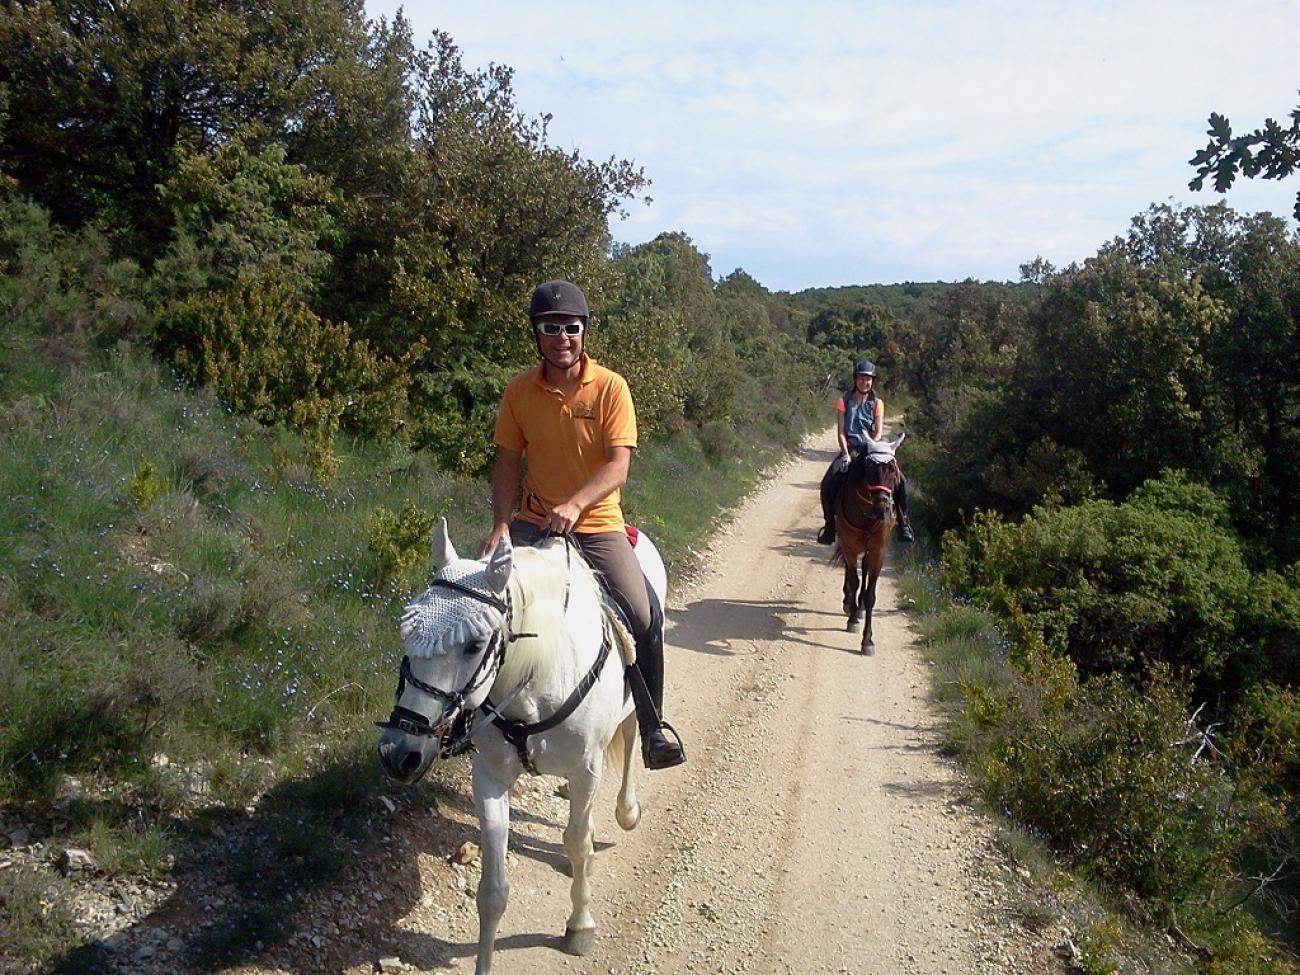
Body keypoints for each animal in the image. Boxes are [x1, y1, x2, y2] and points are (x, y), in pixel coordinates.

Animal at [377, 522, 660, 972]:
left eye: (474, 645)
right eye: (408, 635)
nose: (398, 753)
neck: (538, 676)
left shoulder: (586, 770)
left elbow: (578, 845)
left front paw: (580, 926)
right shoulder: (490, 777)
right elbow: (493, 891)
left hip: (631, 704)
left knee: (632, 736)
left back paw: (627, 809)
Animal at [832, 436, 904, 657]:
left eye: (892, 469)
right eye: (870, 468)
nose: (882, 508)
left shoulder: (879, 551)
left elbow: (871, 593)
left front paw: (868, 641)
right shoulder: (849, 546)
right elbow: (853, 580)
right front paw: (853, 619)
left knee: (863, 569)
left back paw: (860, 606)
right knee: (851, 572)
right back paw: (850, 604)